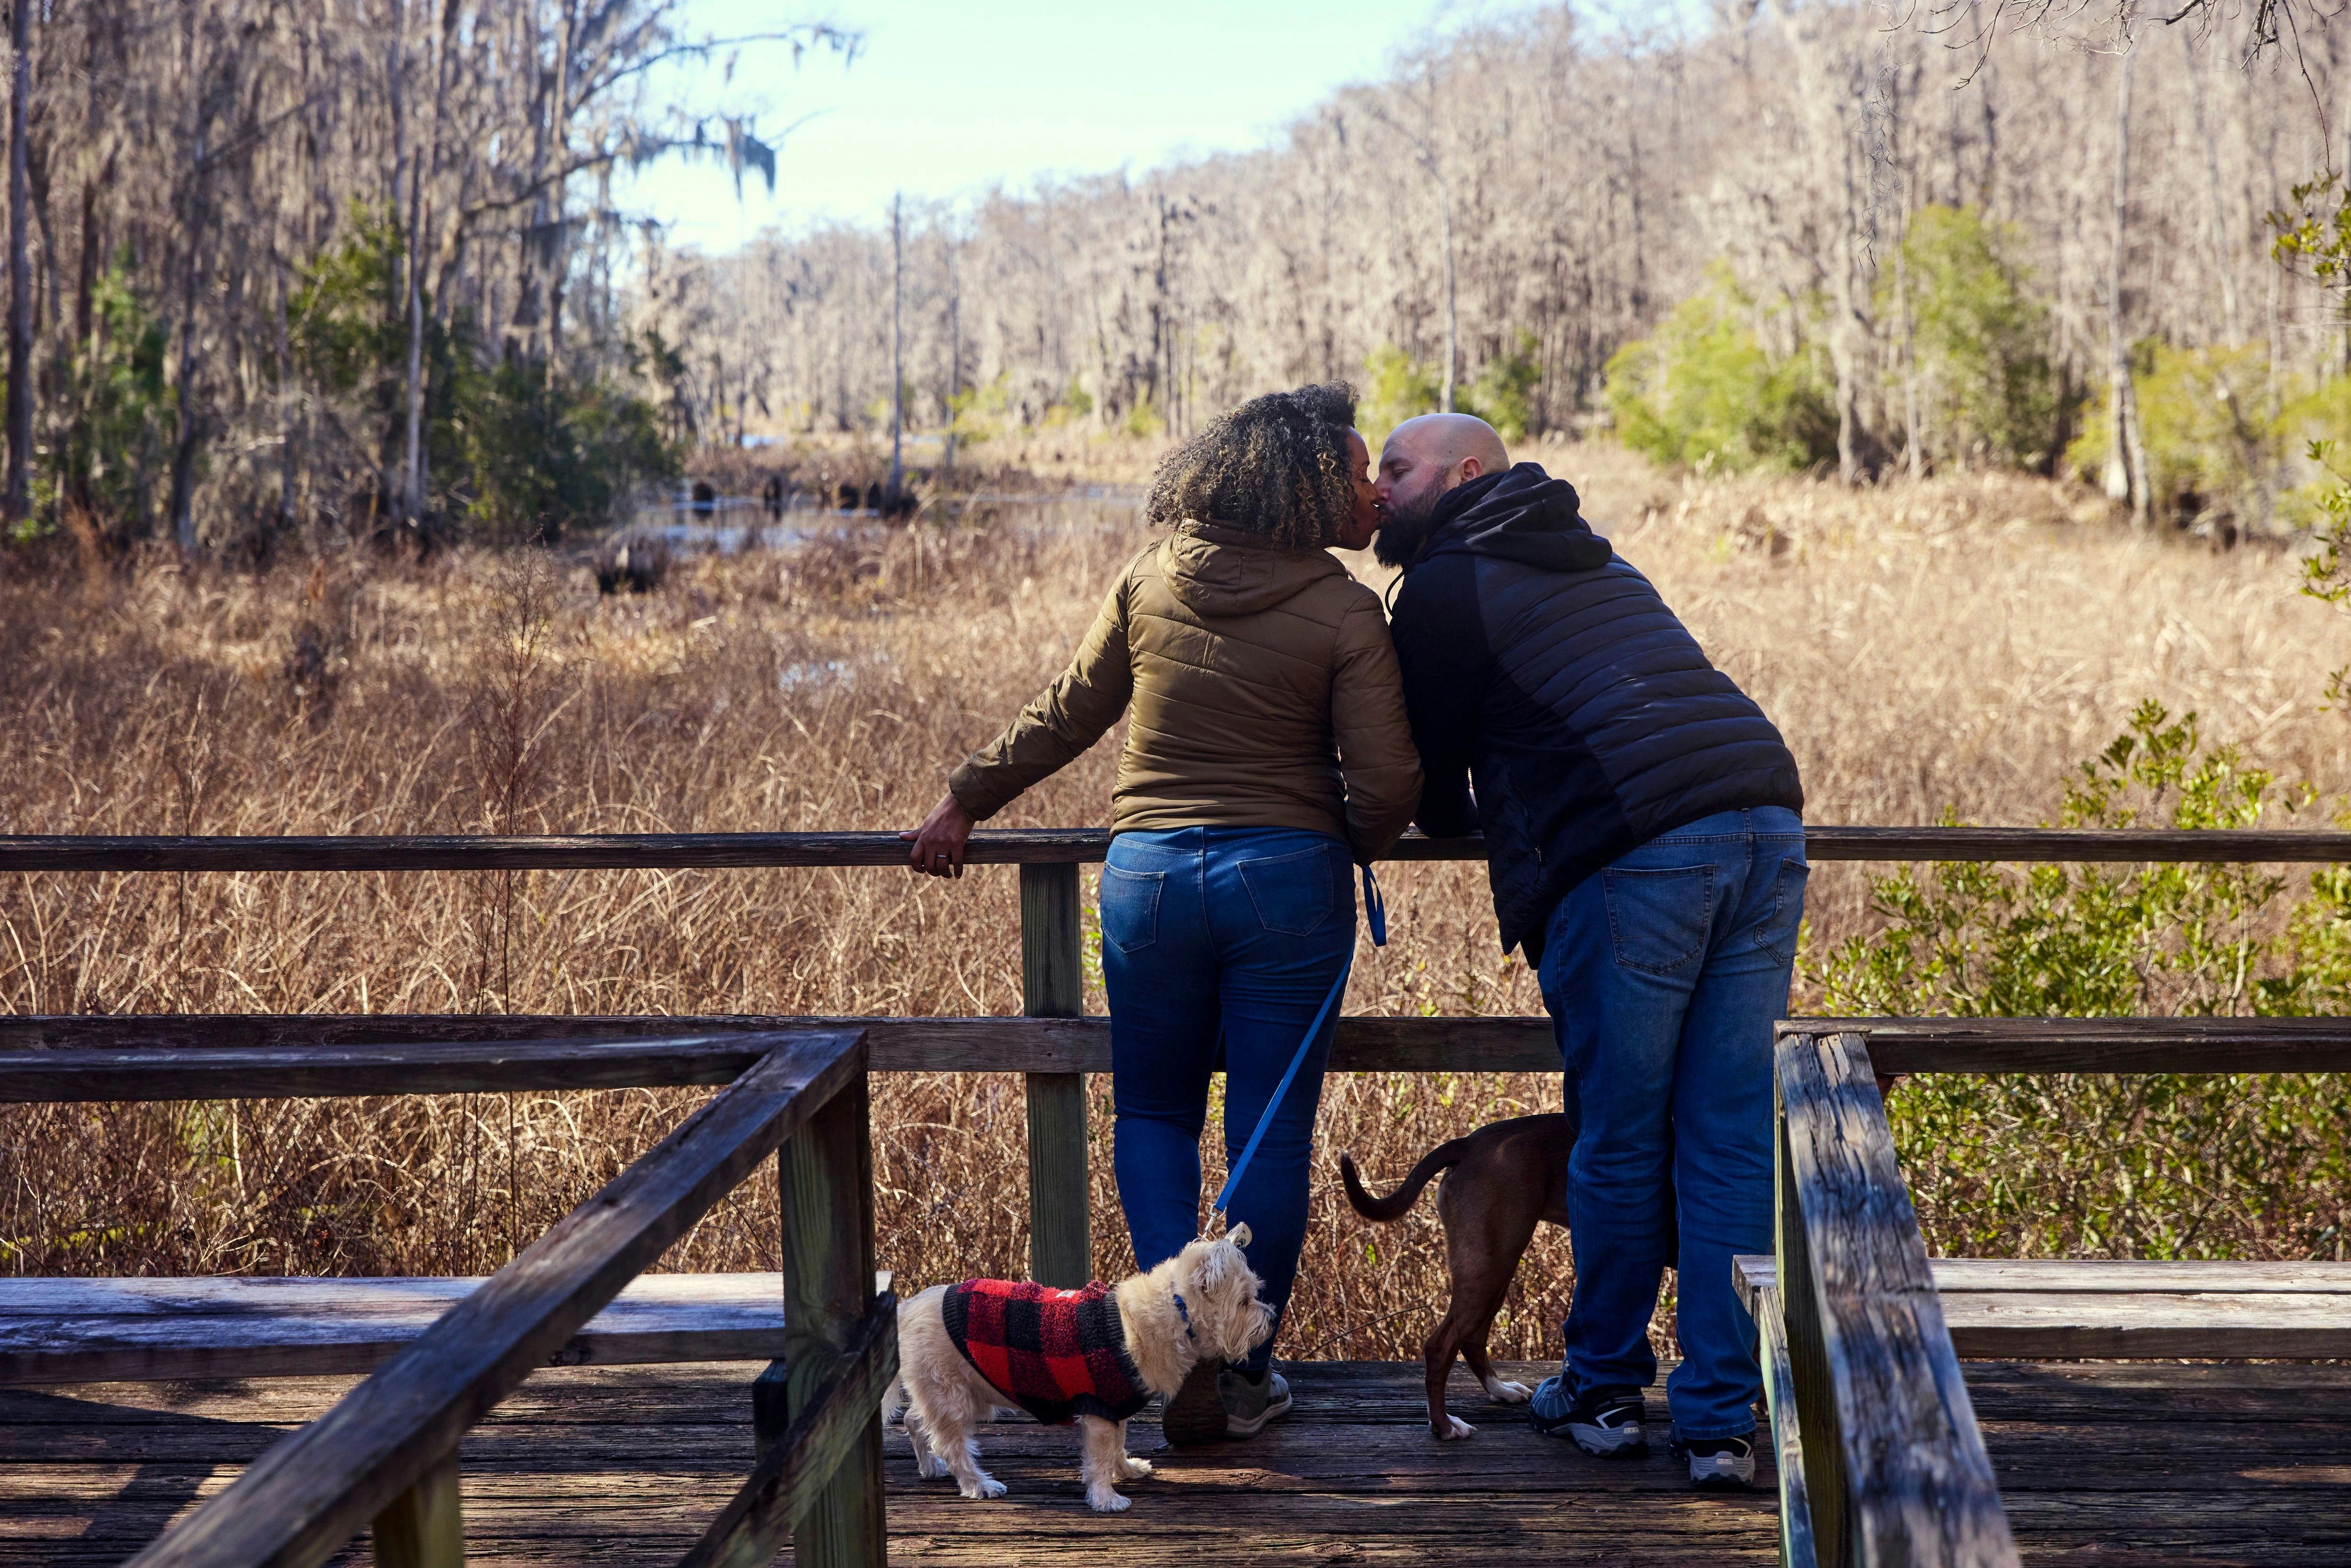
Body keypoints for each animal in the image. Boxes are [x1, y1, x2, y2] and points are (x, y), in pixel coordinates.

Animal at [884, 1231, 1279, 1514]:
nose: (1273, 1317)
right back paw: (979, 1484)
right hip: (954, 1396)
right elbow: (1101, 1457)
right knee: (951, 1445)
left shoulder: (1116, 1411)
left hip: (947, 1393)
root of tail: (904, 1310)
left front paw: (1128, 1469)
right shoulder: (1100, 1412)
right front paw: (1106, 1498)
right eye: (1245, 1301)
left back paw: (930, 1467)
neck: (1174, 1309)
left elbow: (1118, 1446)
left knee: (915, 1422)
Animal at [1354, 1109, 1570, 1439]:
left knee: (1472, 1338)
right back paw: (1444, 1426)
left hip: (1495, 1268)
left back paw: (1500, 1390)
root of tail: (1468, 1143)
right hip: (1492, 1266)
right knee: (1440, 1347)